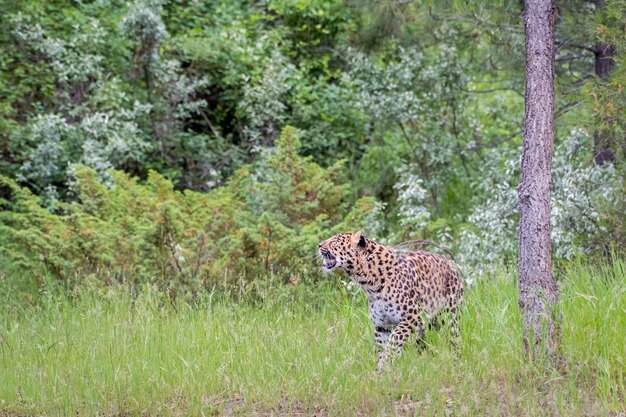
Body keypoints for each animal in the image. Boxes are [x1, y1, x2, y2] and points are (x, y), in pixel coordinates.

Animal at [320, 231, 460, 370]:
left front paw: (390, 357)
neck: (369, 283)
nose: (319, 245)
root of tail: (449, 262)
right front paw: (382, 370)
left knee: (455, 340)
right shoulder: (382, 325)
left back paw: (456, 364)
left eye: (335, 241)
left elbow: (396, 337)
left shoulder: (414, 316)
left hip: (450, 317)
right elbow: (380, 348)